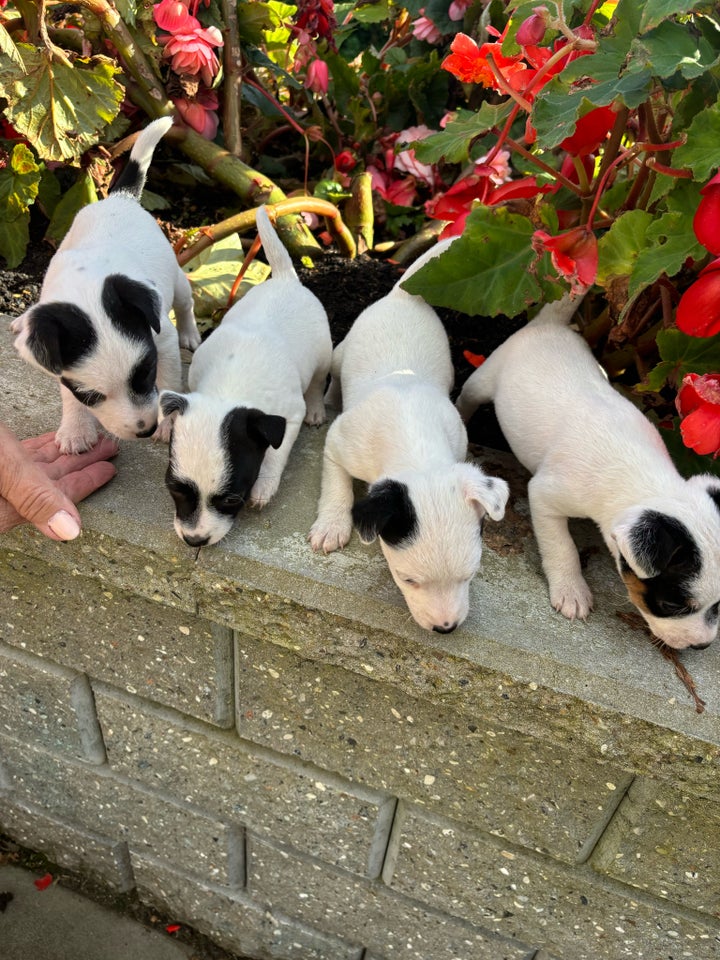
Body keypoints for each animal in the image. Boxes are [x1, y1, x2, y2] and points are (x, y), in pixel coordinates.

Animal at [11, 115, 201, 454]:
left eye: (147, 372)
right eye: (91, 396)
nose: (145, 429)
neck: (85, 287)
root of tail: (119, 197)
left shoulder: (162, 341)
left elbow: (169, 379)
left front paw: (168, 423)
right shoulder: (65, 368)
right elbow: (68, 392)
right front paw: (75, 429)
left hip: (178, 280)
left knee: (185, 304)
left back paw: (190, 333)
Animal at [160, 202, 332, 548]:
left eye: (231, 499)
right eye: (175, 489)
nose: (195, 541)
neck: (230, 388)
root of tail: (285, 278)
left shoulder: (289, 416)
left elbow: (275, 454)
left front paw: (264, 485)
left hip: (324, 355)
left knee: (318, 383)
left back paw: (318, 409)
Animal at [308, 238, 506, 632]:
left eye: (469, 575)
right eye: (407, 579)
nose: (446, 628)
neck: (415, 443)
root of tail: (403, 295)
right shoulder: (339, 444)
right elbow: (336, 484)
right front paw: (332, 525)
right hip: (341, 352)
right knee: (335, 373)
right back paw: (330, 398)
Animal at [456, 294, 720, 652]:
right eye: (671, 605)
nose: (702, 646)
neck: (646, 478)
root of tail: (550, 324)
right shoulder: (545, 495)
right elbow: (562, 545)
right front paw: (571, 590)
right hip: (485, 378)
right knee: (467, 397)